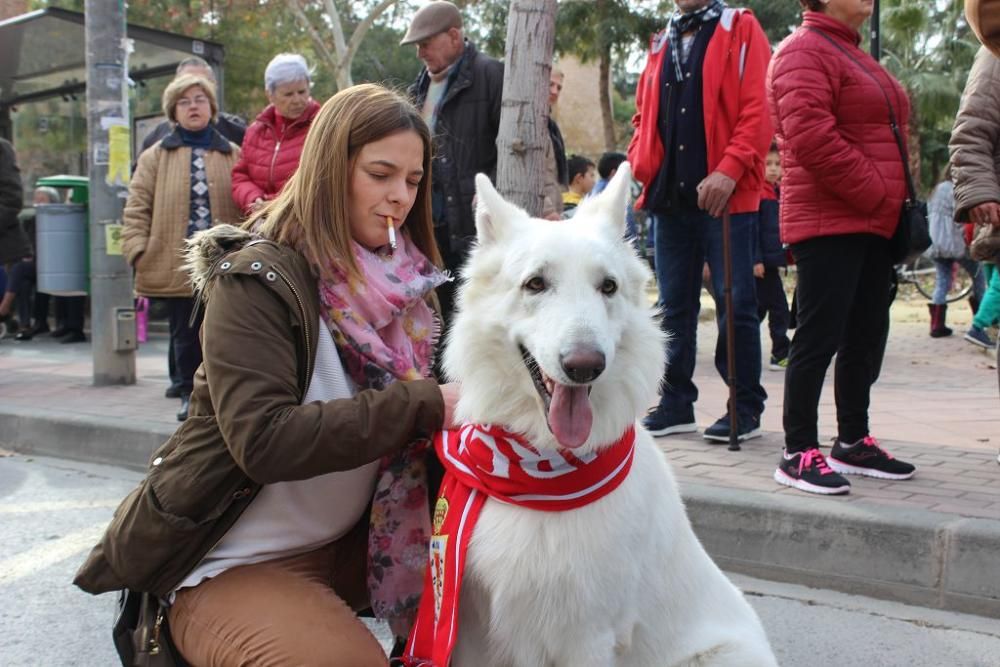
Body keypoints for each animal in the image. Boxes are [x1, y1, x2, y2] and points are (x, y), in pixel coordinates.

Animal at [436, 166, 772, 667]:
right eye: (536, 284)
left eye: (607, 287)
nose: (585, 365)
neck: (540, 473)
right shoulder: (472, 634)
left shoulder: (586, 636)